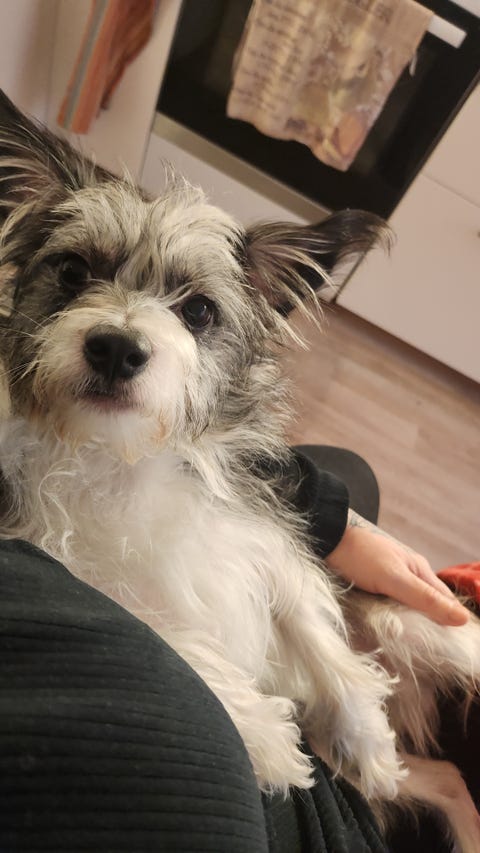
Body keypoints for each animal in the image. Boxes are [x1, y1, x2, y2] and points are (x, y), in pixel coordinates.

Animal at [0, 91, 479, 851]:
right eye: (74, 272)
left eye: (197, 310)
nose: (116, 348)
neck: (125, 456)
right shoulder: (66, 564)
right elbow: (172, 642)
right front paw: (264, 735)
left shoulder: (267, 539)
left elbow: (315, 628)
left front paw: (363, 735)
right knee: (455, 779)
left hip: (431, 631)